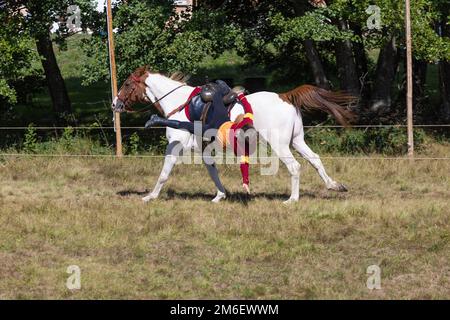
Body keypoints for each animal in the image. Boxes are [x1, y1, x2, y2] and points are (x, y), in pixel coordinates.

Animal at [112, 66, 356, 204]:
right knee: (315, 159)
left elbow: (164, 173)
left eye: (126, 83)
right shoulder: (203, 149)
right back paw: (334, 185)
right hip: (297, 141)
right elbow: (213, 172)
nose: (115, 104)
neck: (180, 103)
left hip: (280, 144)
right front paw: (220, 196)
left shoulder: (175, 145)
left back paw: (292, 199)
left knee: (295, 167)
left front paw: (150, 197)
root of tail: (284, 96)